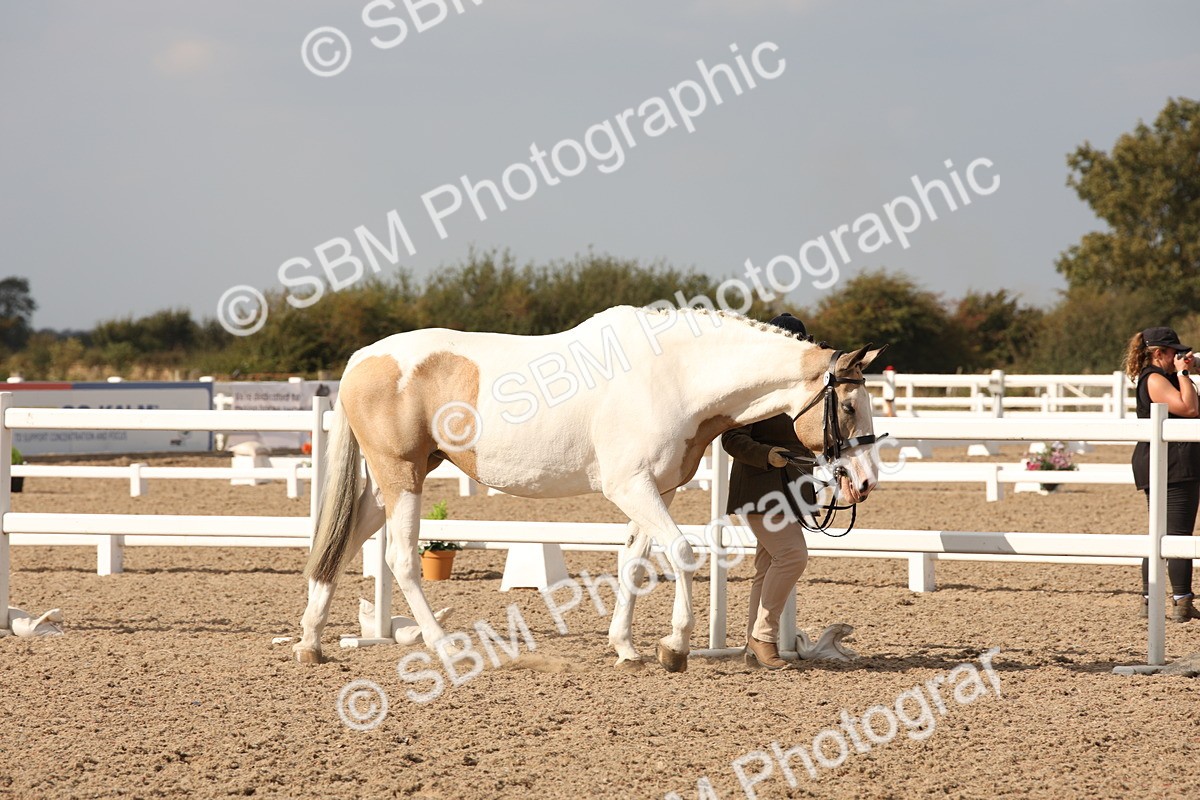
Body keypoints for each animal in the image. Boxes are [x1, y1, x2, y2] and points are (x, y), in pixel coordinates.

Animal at [295, 305, 886, 672]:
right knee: (399, 559)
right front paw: (674, 647)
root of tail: (362, 358)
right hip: (403, 476)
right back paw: (444, 649)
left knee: (343, 545)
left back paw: (311, 643)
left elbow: (634, 564)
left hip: (393, 481)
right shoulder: (631, 488)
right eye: (848, 406)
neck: (673, 376)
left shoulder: (656, 491)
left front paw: (626, 647)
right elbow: (683, 553)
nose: (864, 482)